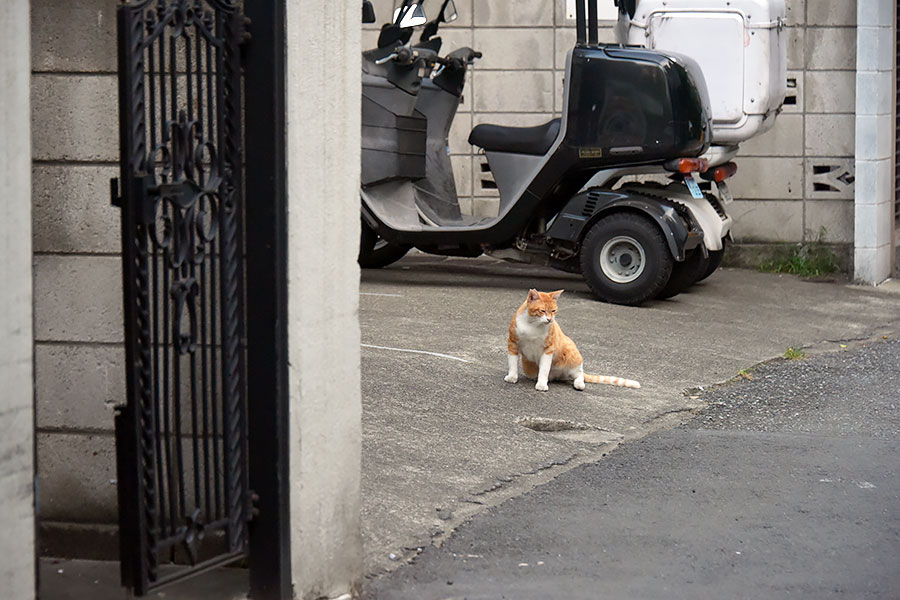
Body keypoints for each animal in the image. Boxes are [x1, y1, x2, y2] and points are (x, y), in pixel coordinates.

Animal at [506, 288, 640, 392]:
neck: (533, 324)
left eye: (553, 311)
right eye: (542, 311)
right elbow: (512, 363)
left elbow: (544, 369)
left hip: (571, 352)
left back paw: (579, 383)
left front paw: (542, 384)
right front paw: (512, 377)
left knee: (578, 373)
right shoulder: (512, 343)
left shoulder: (548, 349)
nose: (550, 320)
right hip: (530, 369)